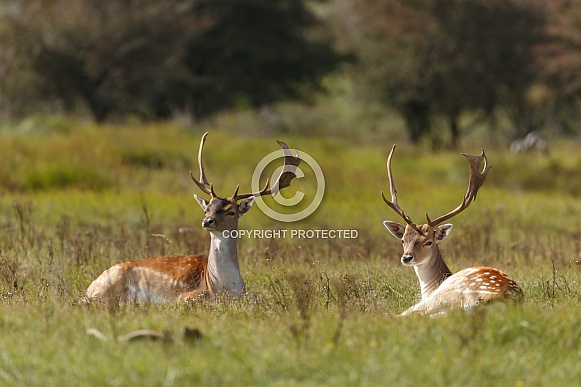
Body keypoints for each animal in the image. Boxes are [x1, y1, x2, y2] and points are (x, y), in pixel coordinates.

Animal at [87, 132, 304, 304]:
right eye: (207, 209)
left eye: (231, 211)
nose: (207, 221)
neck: (223, 287)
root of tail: (88, 289)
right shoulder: (189, 295)